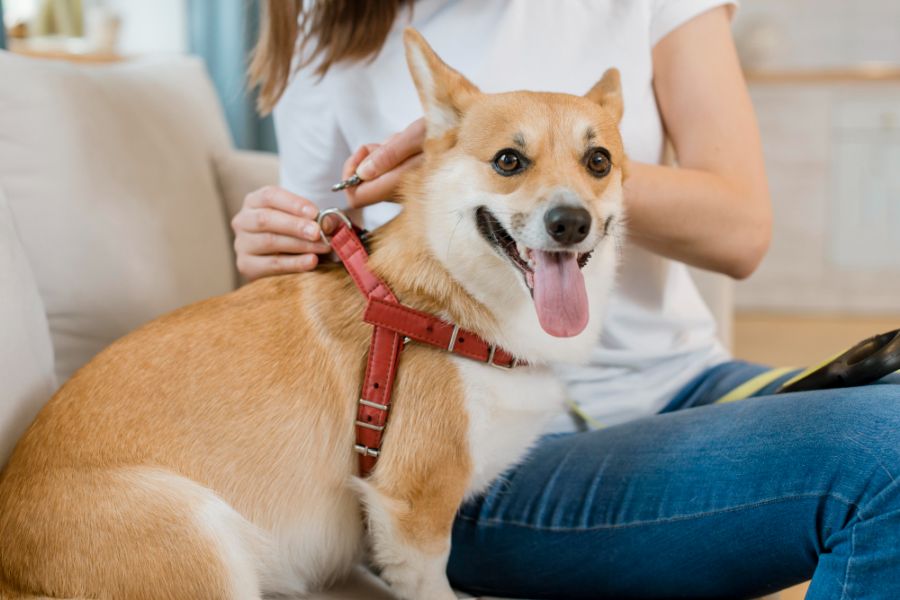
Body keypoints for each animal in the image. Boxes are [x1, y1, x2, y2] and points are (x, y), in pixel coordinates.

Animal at [0, 30, 624, 600]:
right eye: (508, 161)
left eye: (599, 161)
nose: (570, 223)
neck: (448, 306)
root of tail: (14, 575)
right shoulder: (413, 509)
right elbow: (435, 585)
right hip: (202, 534)